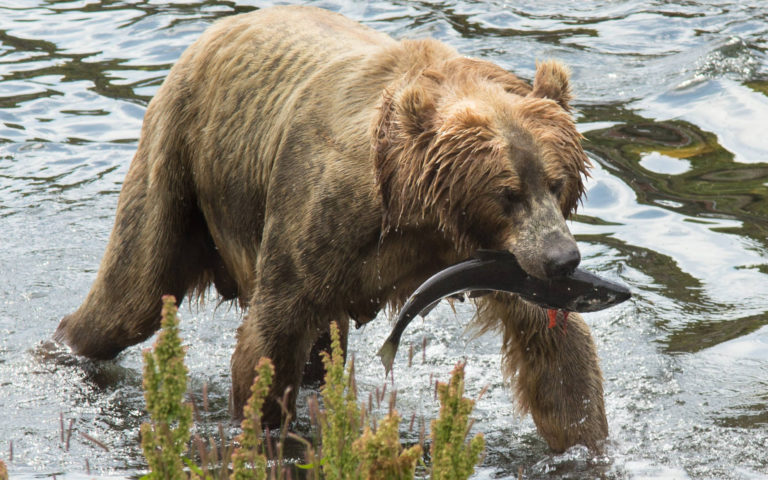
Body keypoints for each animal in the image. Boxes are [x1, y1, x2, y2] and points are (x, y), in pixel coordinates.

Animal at [54, 5, 607, 453]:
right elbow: (270, 340)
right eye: (506, 194)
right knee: (130, 296)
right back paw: (65, 346)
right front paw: (265, 433)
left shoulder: (493, 260)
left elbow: (557, 354)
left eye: (556, 183)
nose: (563, 259)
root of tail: (214, 30)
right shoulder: (324, 216)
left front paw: (584, 443)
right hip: (179, 163)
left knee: (322, 349)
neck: (420, 210)